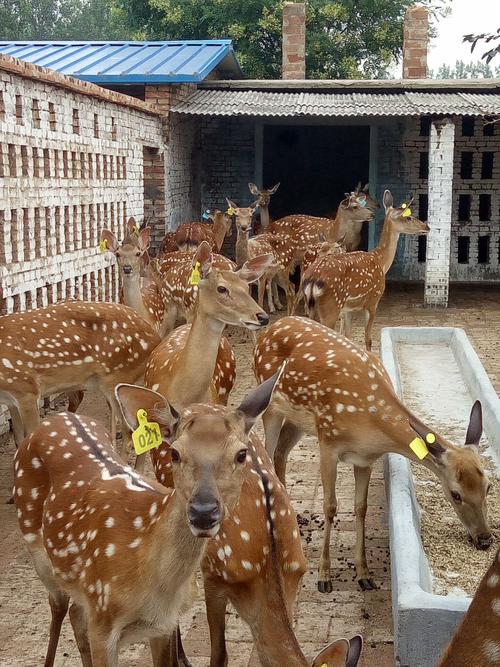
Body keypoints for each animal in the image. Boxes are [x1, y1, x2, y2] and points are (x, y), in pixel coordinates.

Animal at [0, 300, 160, 452]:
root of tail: (155, 338)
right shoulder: (11, 400)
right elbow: (18, 441)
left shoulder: (27, 389)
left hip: (117, 377)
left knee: (130, 432)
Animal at [13, 372, 285, 667]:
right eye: (175, 453)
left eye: (242, 454)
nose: (203, 512)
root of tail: (56, 417)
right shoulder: (103, 624)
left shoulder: (162, 625)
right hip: (37, 546)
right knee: (59, 606)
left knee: (75, 613)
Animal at [254, 316, 493, 594]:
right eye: (455, 494)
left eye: (488, 487)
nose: (485, 539)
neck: (369, 427)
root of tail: (270, 328)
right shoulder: (328, 443)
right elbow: (330, 506)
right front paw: (324, 576)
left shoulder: (365, 459)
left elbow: (361, 508)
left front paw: (364, 574)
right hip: (271, 405)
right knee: (268, 452)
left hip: (299, 421)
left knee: (281, 453)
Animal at [299, 190, 429, 350]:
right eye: (408, 217)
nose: (427, 227)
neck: (380, 262)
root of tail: (312, 280)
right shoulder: (373, 300)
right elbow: (368, 339)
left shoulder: (347, 309)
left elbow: (348, 335)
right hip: (330, 306)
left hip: (312, 306)